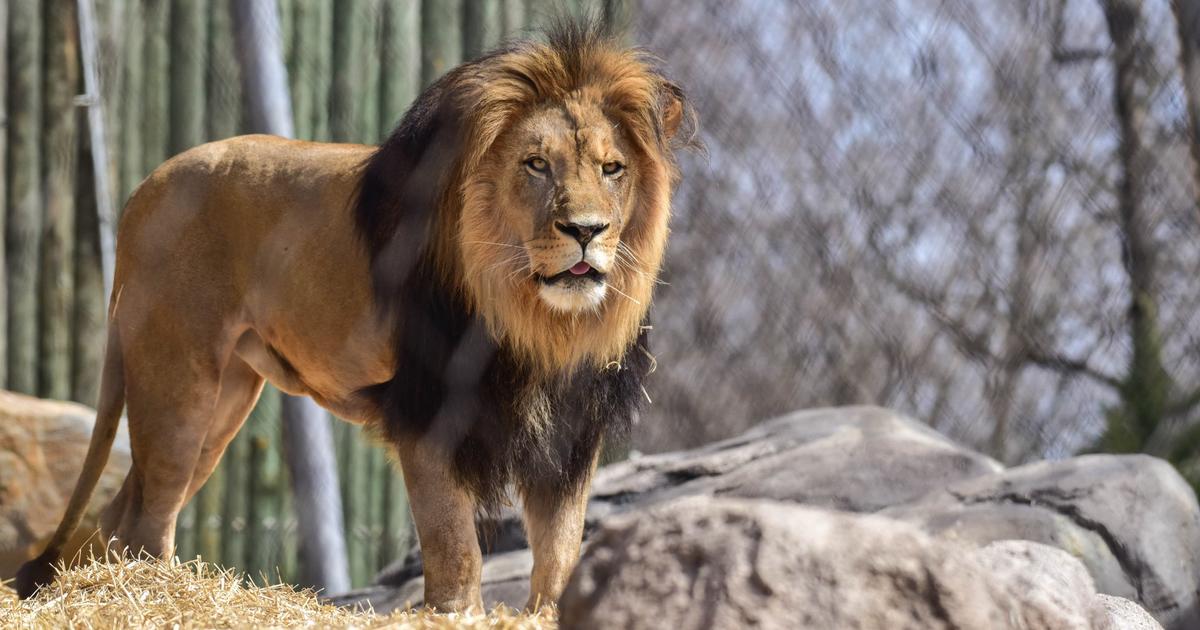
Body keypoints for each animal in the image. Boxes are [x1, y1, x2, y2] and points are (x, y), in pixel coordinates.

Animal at [11, 20, 696, 609]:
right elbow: (456, 551)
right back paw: (161, 597)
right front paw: (457, 613)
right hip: (178, 381)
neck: (538, 323)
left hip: (226, 395)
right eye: (535, 164)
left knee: (127, 509)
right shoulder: (424, 411)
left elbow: (559, 555)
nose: (586, 231)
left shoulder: (570, 429)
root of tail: (141, 191)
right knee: (150, 512)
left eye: (612, 169)